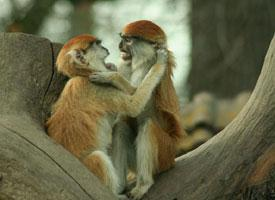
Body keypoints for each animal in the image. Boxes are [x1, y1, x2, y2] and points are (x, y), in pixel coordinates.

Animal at [45, 34, 168, 197]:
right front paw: (160, 61)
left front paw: (112, 69)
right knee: (96, 157)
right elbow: (134, 105)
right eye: (97, 44)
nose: (105, 48)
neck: (84, 73)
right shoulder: (101, 90)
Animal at [94, 20, 187, 198]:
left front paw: (111, 76)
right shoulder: (127, 65)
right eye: (122, 38)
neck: (145, 59)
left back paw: (143, 184)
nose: (120, 46)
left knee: (148, 126)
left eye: (128, 40)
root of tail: (173, 157)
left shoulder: (147, 67)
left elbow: (136, 102)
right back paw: (119, 186)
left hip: (165, 154)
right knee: (121, 128)